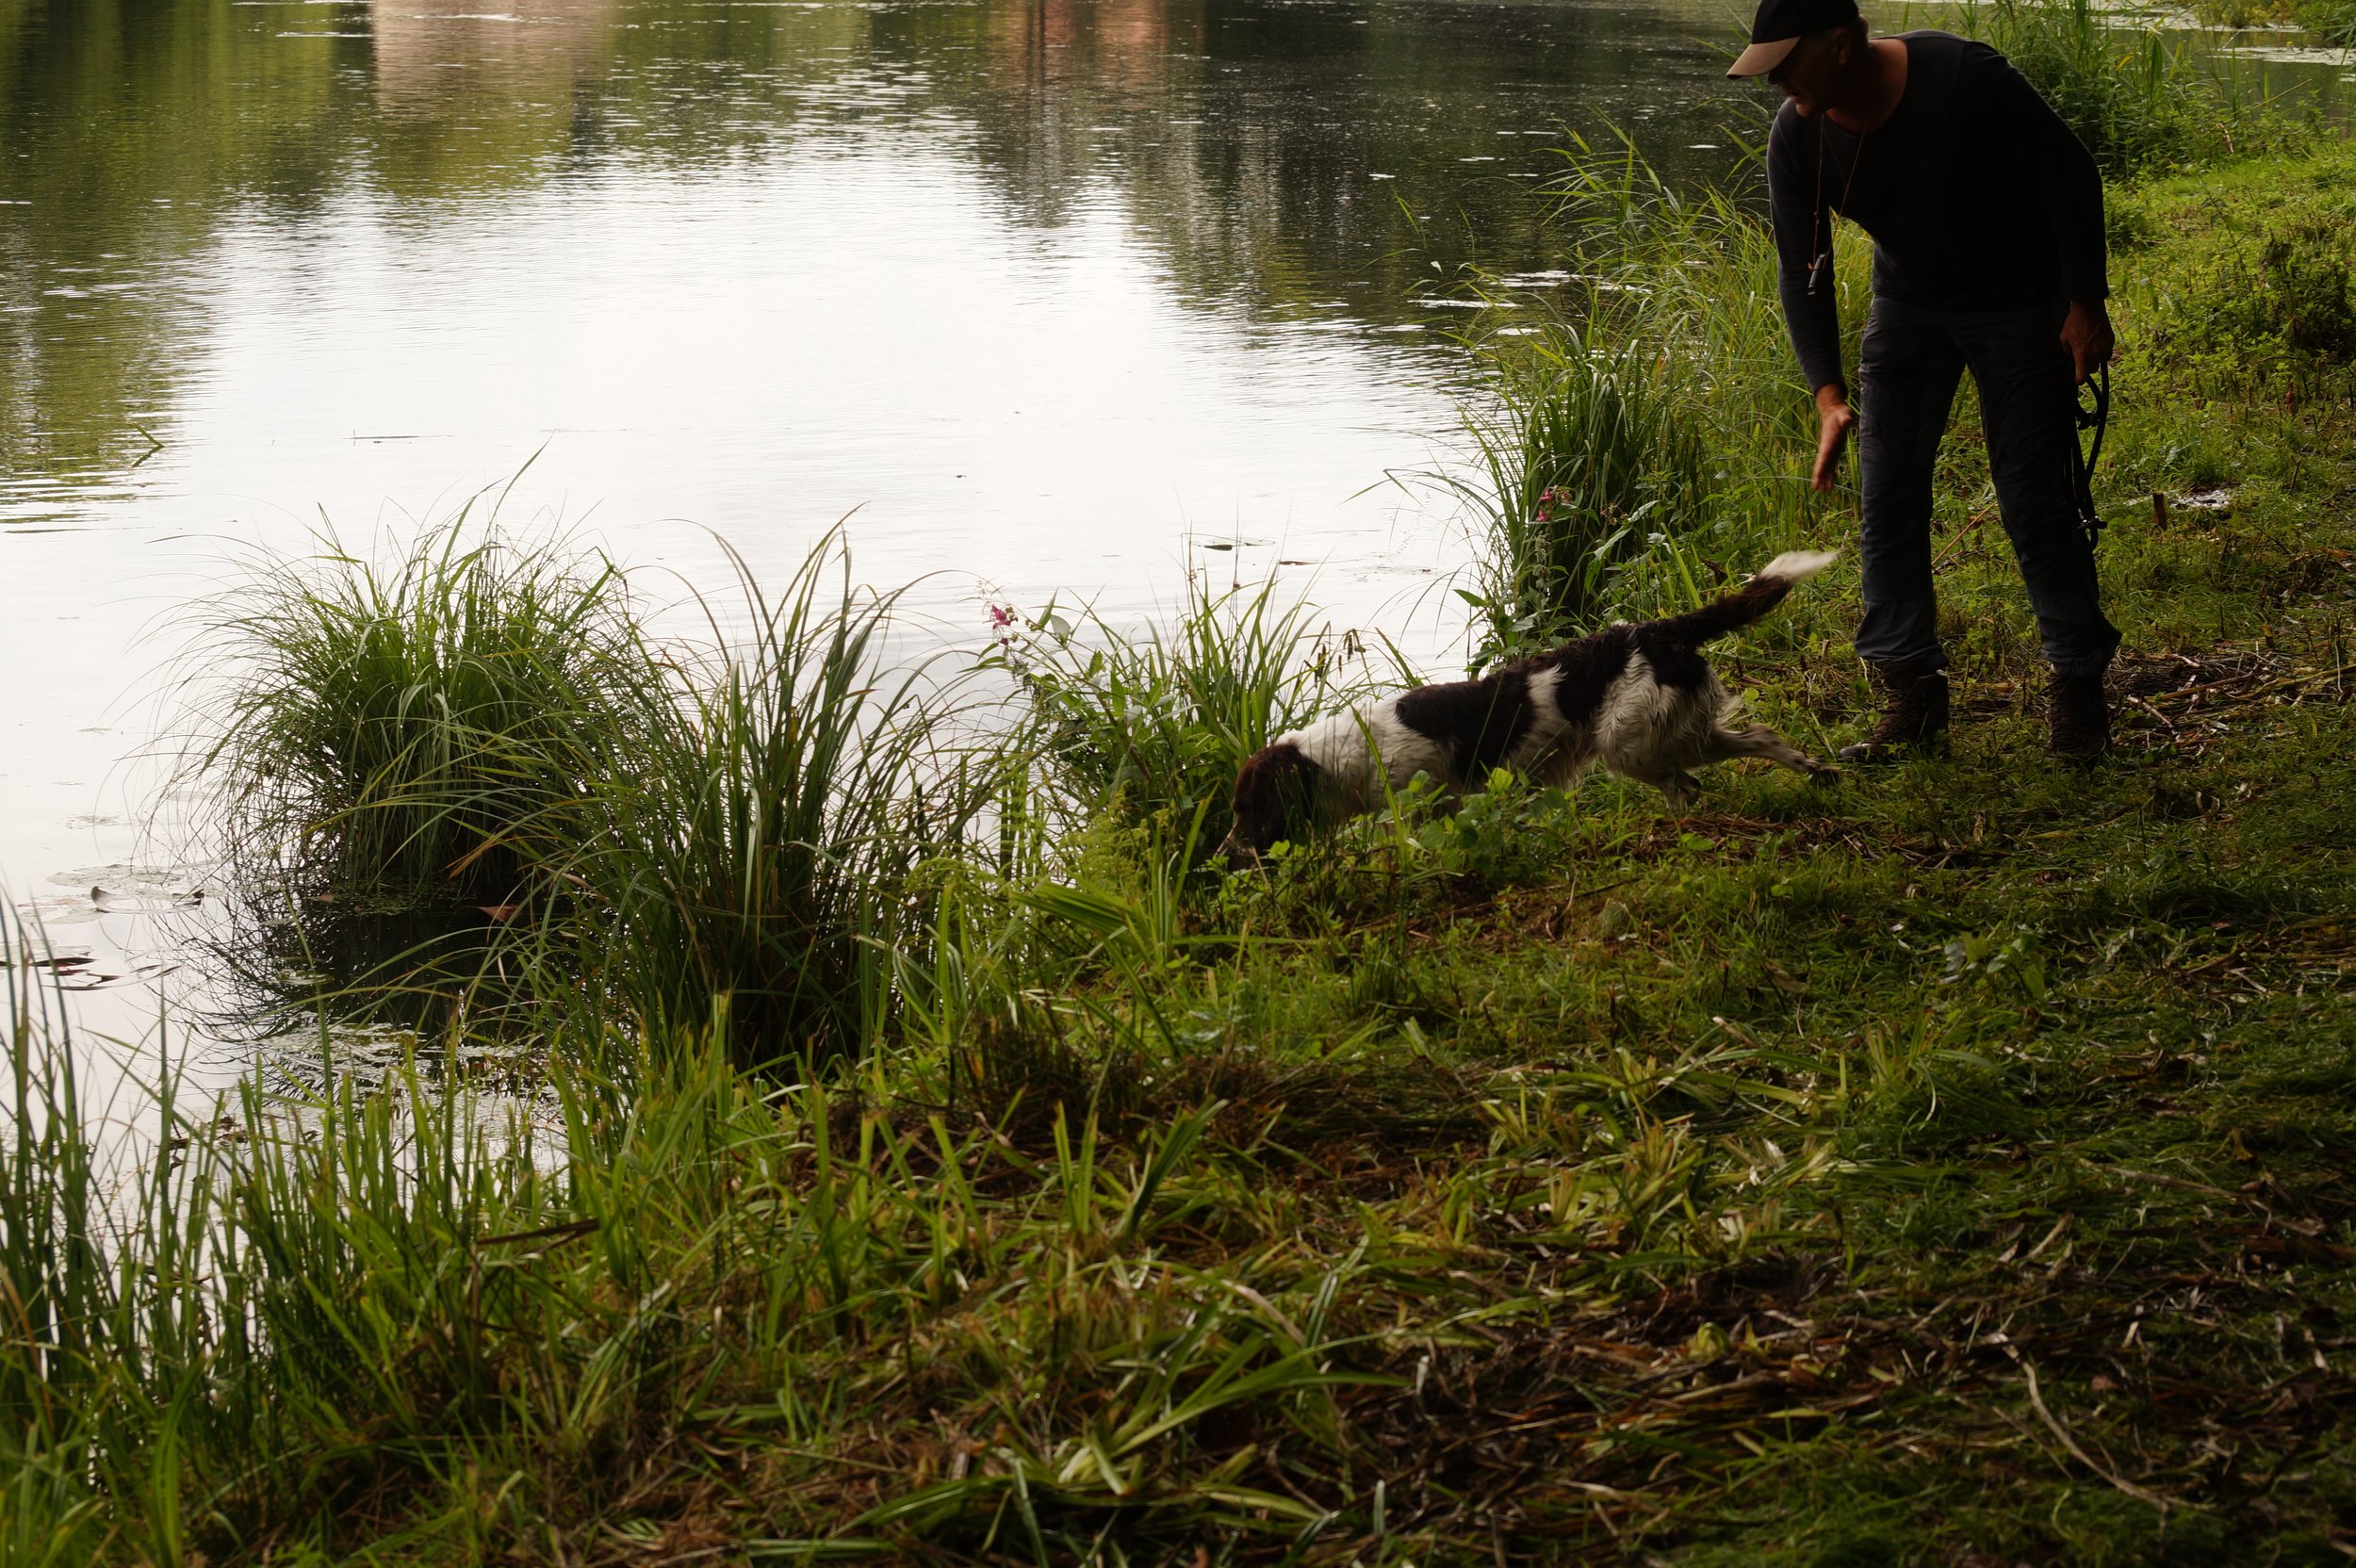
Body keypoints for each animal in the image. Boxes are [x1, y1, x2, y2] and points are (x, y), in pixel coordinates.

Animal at [1221, 551, 1840, 864]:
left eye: (1246, 807)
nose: (1227, 853)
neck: (1348, 752)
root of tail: (1654, 630)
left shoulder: (1432, 799)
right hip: (1676, 733)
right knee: (1760, 742)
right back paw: (1819, 773)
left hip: (1632, 745)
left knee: (1688, 783)